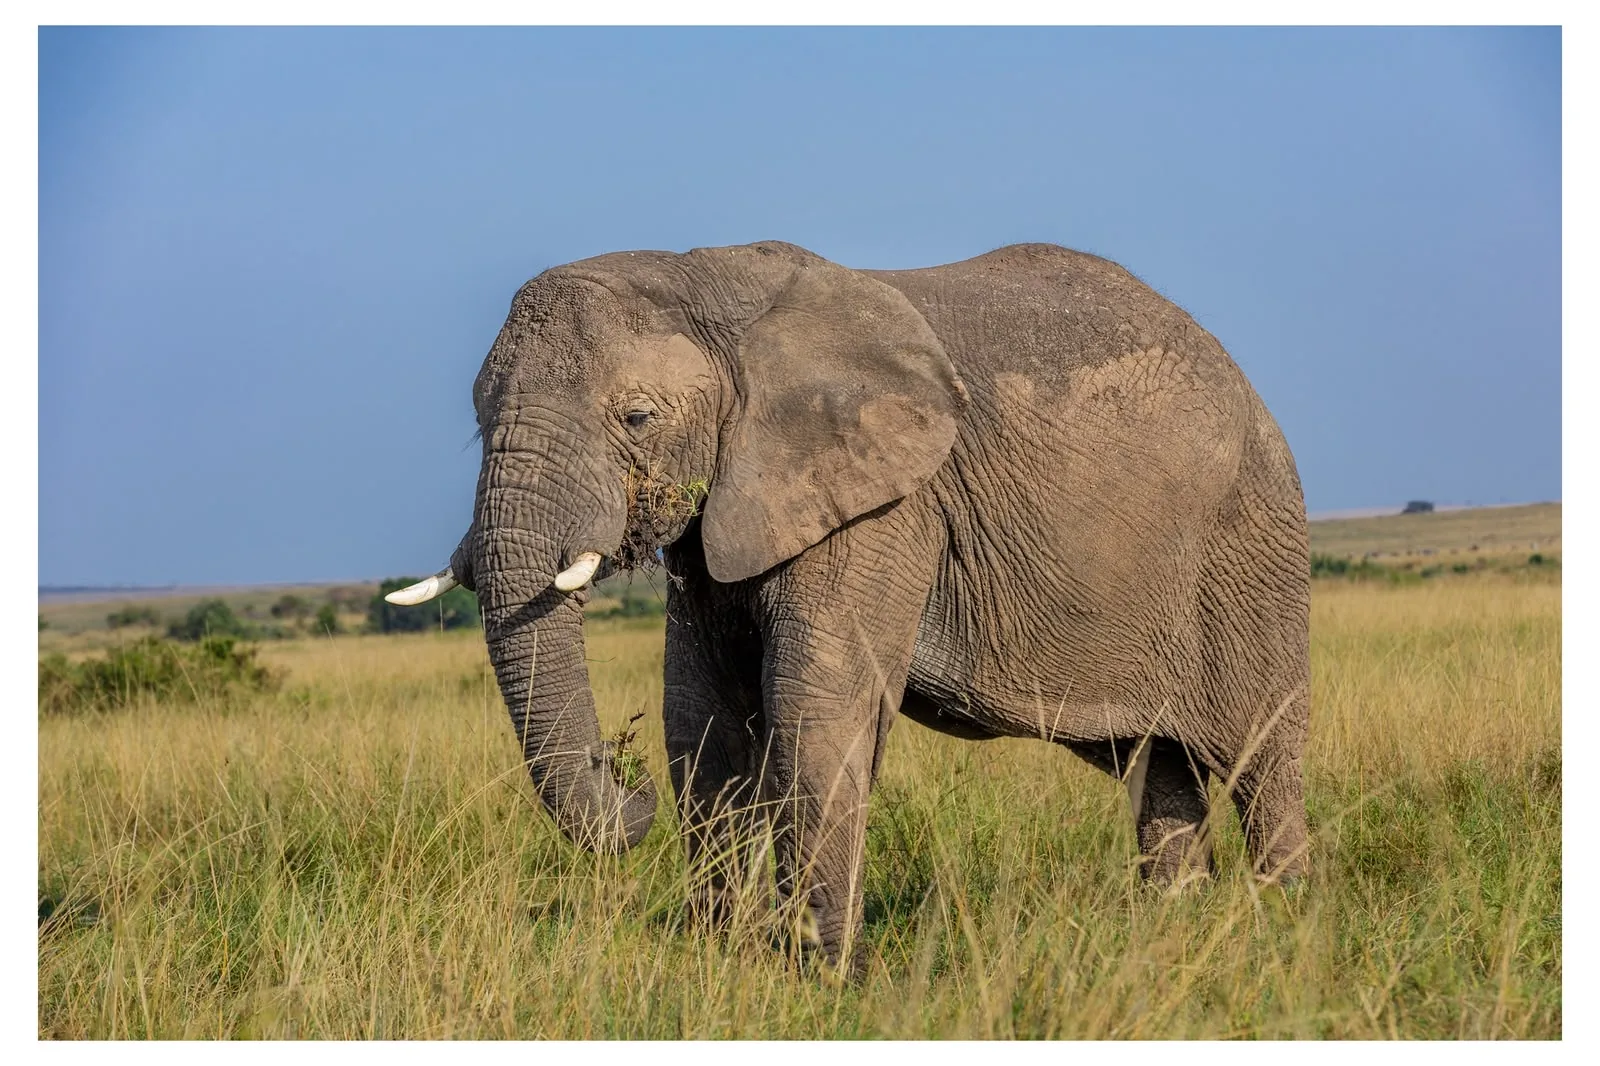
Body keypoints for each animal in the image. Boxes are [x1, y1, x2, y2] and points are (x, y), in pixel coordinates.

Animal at [389, 240, 1311, 971]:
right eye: (478, 422)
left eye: (638, 417)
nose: (624, 772)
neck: (707, 279)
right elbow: (701, 714)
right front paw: (719, 961)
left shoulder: (884, 504)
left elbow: (814, 700)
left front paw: (822, 973)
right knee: (1159, 766)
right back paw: (1177, 934)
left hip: (1251, 545)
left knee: (1262, 756)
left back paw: (1285, 927)